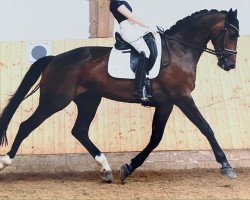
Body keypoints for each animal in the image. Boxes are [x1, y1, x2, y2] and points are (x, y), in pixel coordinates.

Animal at [0, 9, 239, 183]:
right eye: (232, 34)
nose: (229, 64)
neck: (180, 50)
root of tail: (55, 58)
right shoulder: (181, 97)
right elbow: (205, 127)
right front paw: (226, 165)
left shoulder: (166, 103)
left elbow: (155, 138)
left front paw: (128, 167)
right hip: (55, 101)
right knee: (26, 126)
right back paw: (6, 161)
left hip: (88, 100)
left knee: (79, 131)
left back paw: (106, 169)